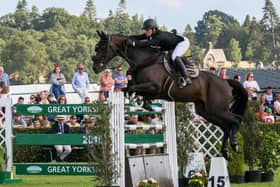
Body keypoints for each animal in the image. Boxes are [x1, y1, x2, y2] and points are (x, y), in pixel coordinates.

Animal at [92, 31, 247, 159]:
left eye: (100, 47)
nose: (95, 67)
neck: (144, 61)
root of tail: (226, 82)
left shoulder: (154, 87)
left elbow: (131, 89)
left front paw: (139, 100)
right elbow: (129, 89)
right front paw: (145, 103)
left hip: (217, 109)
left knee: (235, 120)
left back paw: (235, 145)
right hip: (206, 111)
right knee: (226, 126)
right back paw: (226, 152)